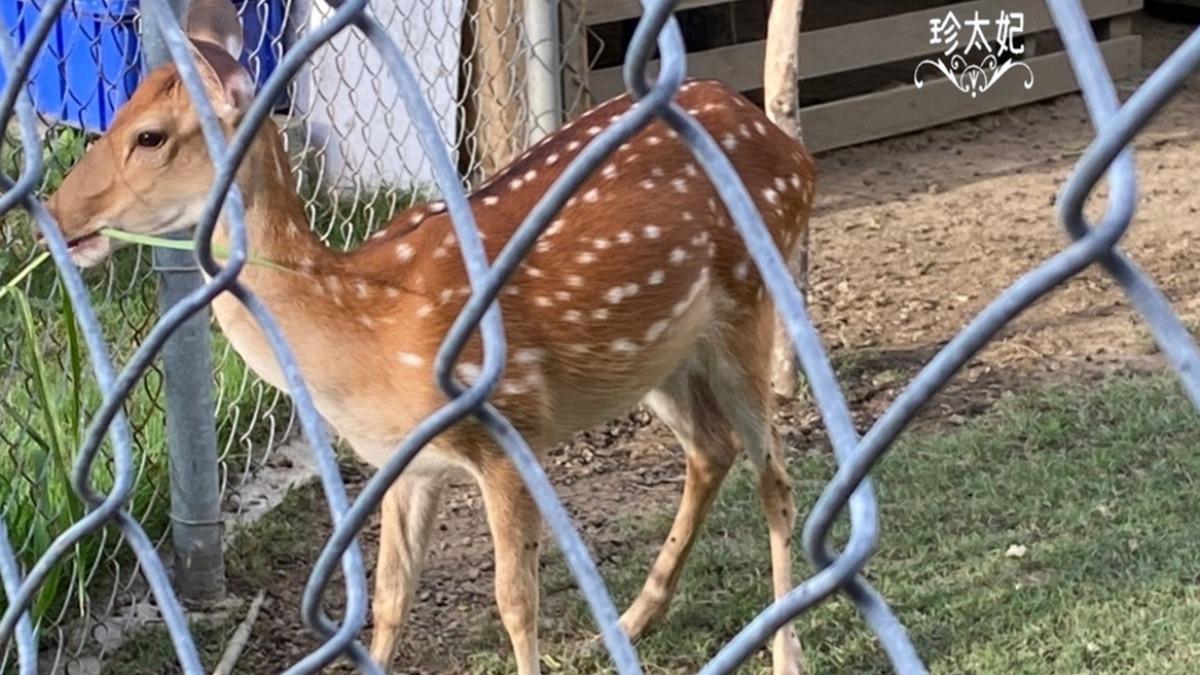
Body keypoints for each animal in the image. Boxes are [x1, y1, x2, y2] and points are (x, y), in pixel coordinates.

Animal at [46, 2, 816, 673]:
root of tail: (791, 150)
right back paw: (629, 621)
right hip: (659, 356)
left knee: (775, 475)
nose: (53, 211)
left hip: (749, 302)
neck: (364, 329)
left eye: (149, 135)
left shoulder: (507, 425)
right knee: (711, 449)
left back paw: (782, 654)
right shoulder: (403, 459)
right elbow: (389, 599)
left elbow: (515, 600)